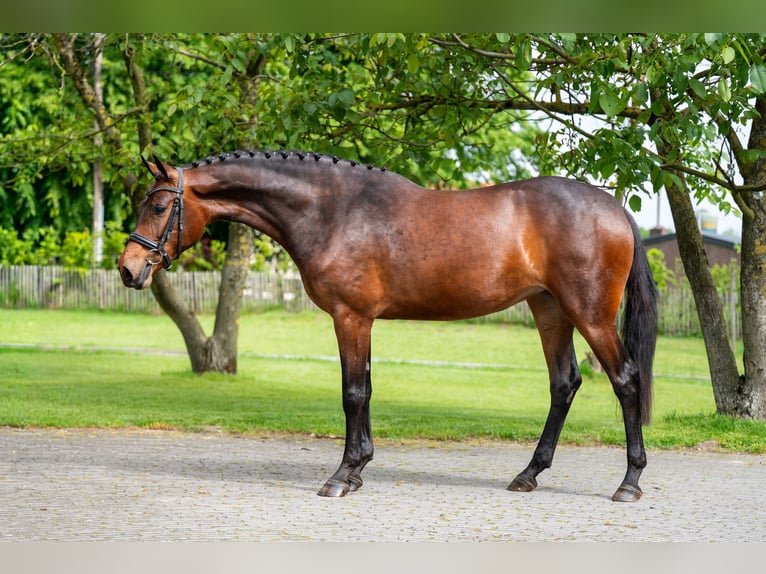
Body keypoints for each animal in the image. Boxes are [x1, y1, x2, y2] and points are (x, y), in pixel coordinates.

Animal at [118, 150, 658, 502]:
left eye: (159, 206)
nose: (128, 269)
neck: (334, 210)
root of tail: (613, 208)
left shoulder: (350, 317)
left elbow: (352, 392)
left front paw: (342, 476)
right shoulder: (365, 321)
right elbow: (368, 389)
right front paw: (359, 469)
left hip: (588, 314)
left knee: (626, 380)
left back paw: (629, 483)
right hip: (550, 311)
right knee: (563, 384)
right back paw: (529, 474)